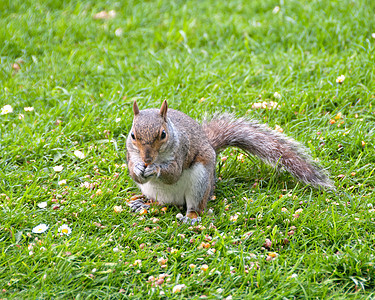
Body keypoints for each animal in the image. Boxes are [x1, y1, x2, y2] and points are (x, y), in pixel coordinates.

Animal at [126, 100, 334, 223]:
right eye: (133, 135)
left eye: (163, 134)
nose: (147, 159)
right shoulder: (130, 154)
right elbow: (134, 173)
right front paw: (138, 168)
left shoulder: (181, 151)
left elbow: (173, 173)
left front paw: (155, 169)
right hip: (153, 191)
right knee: (161, 203)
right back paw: (145, 204)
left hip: (200, 182)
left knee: (196, 206)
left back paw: (191, 216)